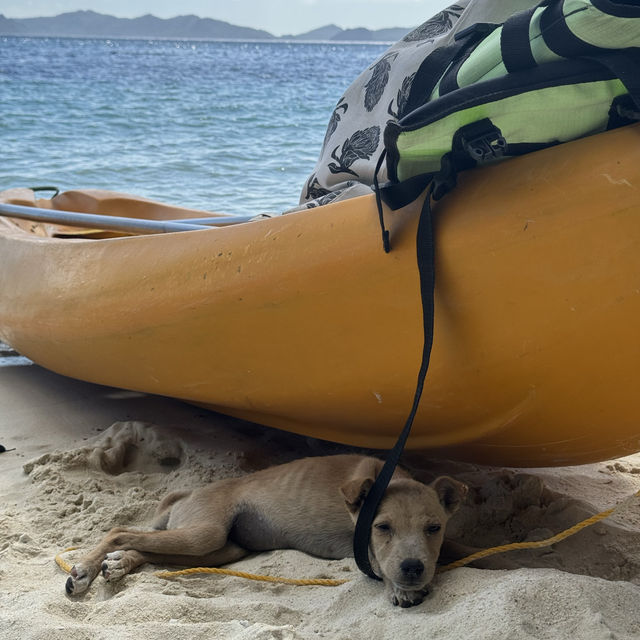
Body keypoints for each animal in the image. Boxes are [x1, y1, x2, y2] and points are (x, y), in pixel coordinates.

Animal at [65, 452, 464, 608]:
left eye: (434, 527)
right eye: (381, 527)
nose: (412, 569)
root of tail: (188, 493)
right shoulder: (364, 542)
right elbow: (382, 564)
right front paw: (399, 588)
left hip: (219, 548)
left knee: (147, 547)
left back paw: (118, 563)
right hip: (204, 533)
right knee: (119, 530)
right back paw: (84, 568)